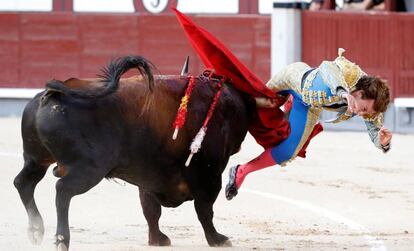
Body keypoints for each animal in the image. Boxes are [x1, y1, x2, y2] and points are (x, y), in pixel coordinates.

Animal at [13, 55, 256, 249]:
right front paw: (218, 239)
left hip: (36, 159)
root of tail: (52, 94)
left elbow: (151, 210)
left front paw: (157, 240)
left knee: (23, 182)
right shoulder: (208, 174)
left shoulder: (147, 177)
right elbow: (204, 209)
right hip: (89, 169)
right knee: (62, 189)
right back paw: (62, 239)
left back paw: (36, 230)